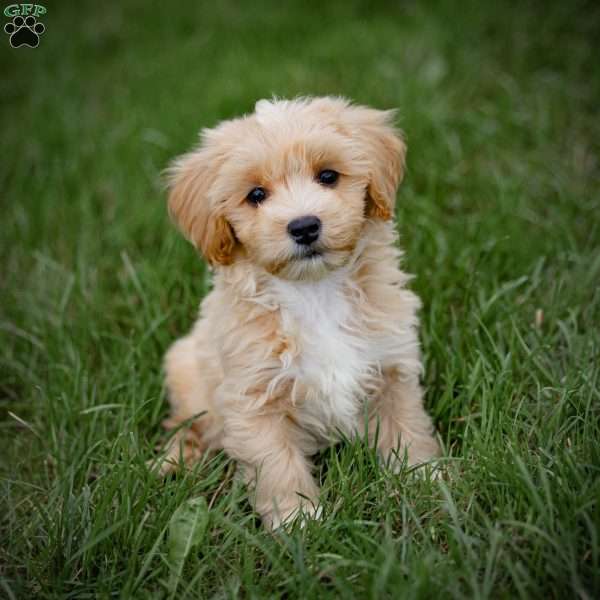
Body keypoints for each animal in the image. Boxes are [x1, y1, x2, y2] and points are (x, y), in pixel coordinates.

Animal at [158, 96, 440, 528]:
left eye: (327, 175)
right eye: (256, 194)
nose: (304, 226)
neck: (314, 291)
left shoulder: (391, 368)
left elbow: (407, 428)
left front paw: (427, 481)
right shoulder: (255, 398)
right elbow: (277, 464)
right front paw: (299, 521)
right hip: (186, 371)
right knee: (187, 423)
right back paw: (176, 460)